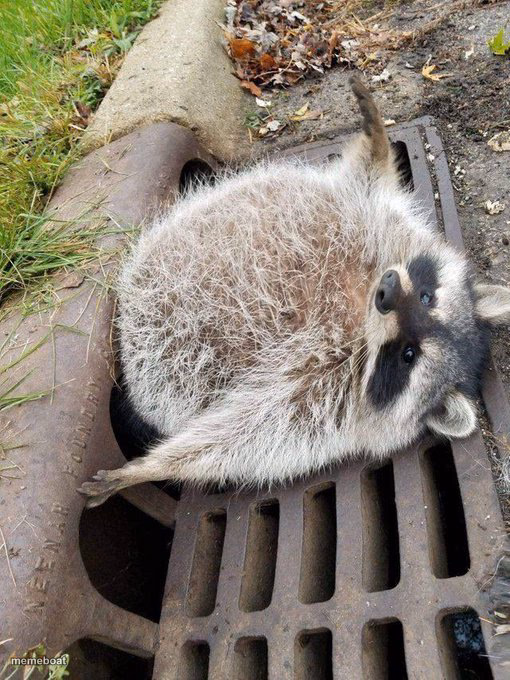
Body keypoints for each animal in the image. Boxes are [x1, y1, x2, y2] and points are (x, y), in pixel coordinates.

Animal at [79, 77, 510, 507]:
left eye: (409, 354)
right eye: (426, 297)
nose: (387, 291)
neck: (360, 314)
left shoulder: (322, 400)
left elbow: (240, 434)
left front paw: (152, 467)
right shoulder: (376, 225)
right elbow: (367, 179)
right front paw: (376, 136)